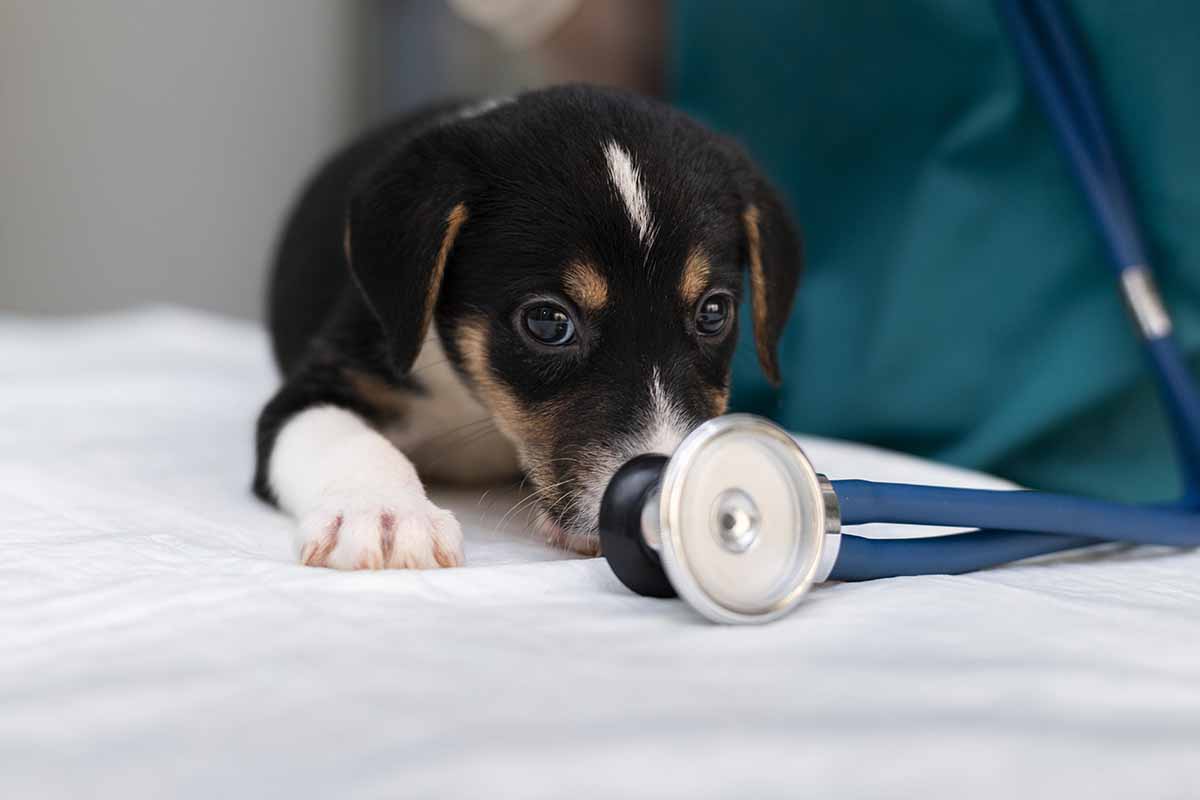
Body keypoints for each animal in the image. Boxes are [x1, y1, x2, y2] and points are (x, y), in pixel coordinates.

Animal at [253, 86, 801, 568]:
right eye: (548, 321)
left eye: (713, 312)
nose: (660, 500)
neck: (479, 407)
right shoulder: (318, 386)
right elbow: (347, 439)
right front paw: (384, 514)